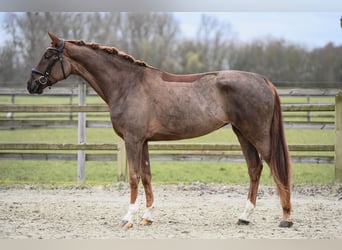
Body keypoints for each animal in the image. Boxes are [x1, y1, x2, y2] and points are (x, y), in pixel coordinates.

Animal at [27, 32, 294, 229]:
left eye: (48, 55)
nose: (31, 84)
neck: (128, 85)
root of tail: (263, 80)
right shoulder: (144, 141)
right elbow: (146, 176)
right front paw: (147, 216)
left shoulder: (133, 140)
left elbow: (134, 177)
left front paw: (128, 218)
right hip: (242, 133)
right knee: (255, 168)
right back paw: (244, 216)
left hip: (258, 135)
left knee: (276, 169)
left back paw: (286, 218)